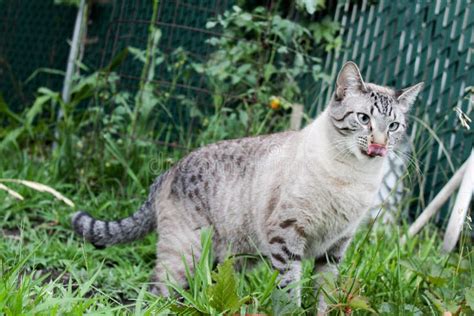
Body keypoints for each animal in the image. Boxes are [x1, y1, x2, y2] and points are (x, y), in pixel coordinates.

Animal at [71, 62, 422, 312]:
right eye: (363, 119)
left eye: (393, 126)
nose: (379, 145)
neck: (355, 177)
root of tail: (168, 171)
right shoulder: (287, 237)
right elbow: (290, 294)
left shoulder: (334, 250)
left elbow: (326, 297)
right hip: (185, 254)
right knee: (156, 289)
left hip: (223, 260)